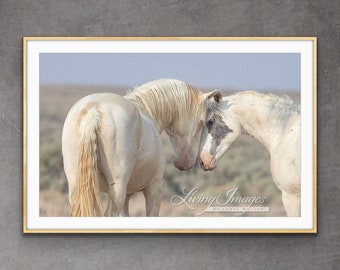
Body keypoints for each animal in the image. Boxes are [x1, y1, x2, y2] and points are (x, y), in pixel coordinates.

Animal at [61, 78, 220, 217]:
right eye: (202, 122)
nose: (185, 163)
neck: (149, 113)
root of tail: (94, 111)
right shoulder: (154, 188)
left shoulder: (127, 195)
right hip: (117, 187)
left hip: (77, 186)